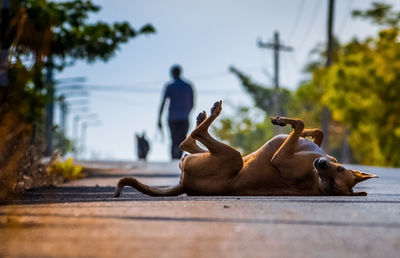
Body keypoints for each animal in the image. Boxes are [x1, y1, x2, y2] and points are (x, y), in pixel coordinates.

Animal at [113, 101, 378, 198]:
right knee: (187, 144)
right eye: (339, 169)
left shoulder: (280, 157)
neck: (314, 177)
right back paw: (202, 117)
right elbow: (316, 131)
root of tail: (184, 186)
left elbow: (300, 124)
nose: (321, 164)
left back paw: (210, 114)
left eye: (333, 184)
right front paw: (305, 132)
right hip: (223, 155)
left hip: (232, 157)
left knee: (190, 140)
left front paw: (284, 121)